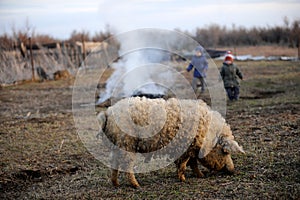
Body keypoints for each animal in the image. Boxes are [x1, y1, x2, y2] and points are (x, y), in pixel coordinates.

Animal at [97, 97, 245, 188]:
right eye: (225, 152)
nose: (233, 170)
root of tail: (107, 113)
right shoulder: (186, 146)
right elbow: (185, 163)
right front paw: (183, 179)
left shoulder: (190, 147)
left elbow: (193, 162)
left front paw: (200, 176)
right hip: (127, 143)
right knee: (126, 165)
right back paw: (136, 185)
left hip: (117, 144)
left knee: (114, 163)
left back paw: (116, 184)